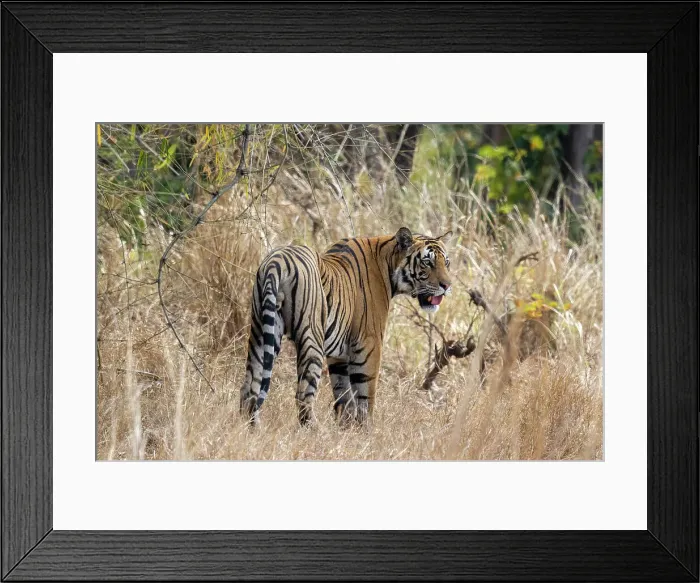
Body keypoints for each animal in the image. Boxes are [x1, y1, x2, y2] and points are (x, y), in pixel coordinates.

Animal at [239, 227, 453, 426]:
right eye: (427, 262)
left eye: (447, 262)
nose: (447, 285)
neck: (388, 262)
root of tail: (275, 262)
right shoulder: (369, 343)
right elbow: (366, 393)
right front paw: (365, 429)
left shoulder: (339, 353)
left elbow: (343, 393)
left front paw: (346, 427)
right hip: (311, 339)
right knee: (303, 394)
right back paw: (316, 431)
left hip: (261, 332)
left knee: (249, 388)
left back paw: (251, 428)